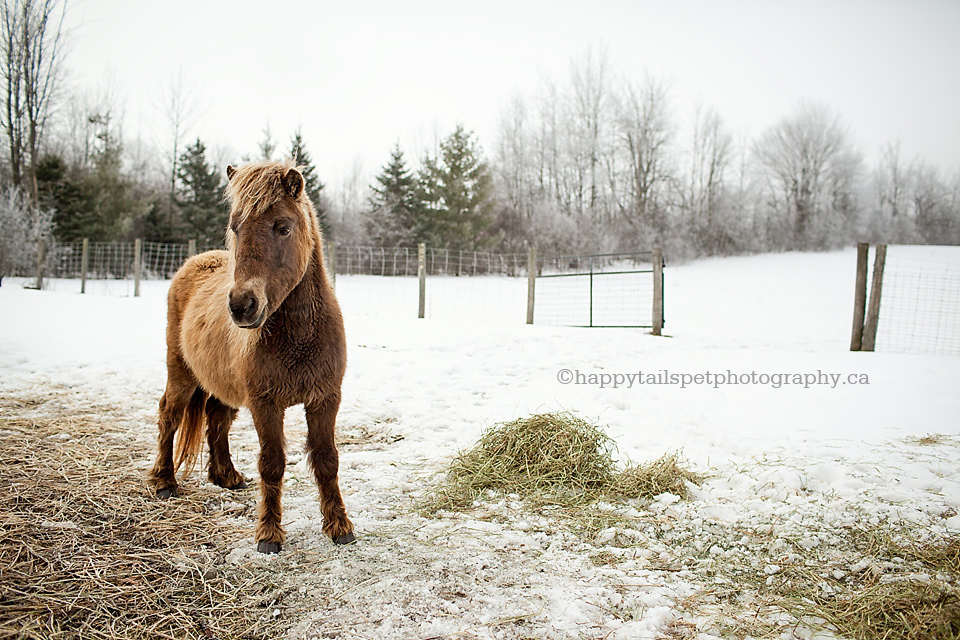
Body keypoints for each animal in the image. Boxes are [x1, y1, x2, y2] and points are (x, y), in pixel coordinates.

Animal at [150, 161, 356, 556]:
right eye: (235, 226)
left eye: (283, 227)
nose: (241, 305)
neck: (298, 336)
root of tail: (193, 263)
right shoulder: (266, 403)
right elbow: (272, 464)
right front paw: (269, 535)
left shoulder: (325, 399)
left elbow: (327, 461)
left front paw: (339, 526)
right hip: (180, 373)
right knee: (170, 415)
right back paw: (165, 482)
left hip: (222, 387)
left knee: (216, 420)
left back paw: (226, 476)